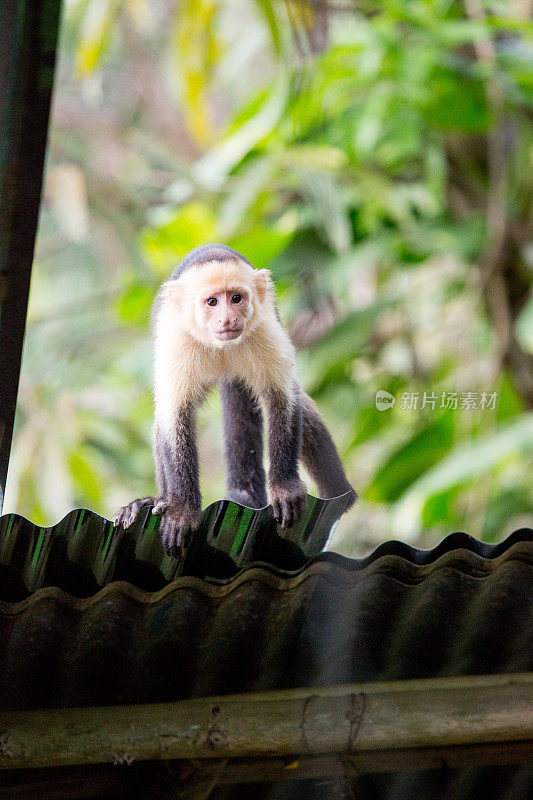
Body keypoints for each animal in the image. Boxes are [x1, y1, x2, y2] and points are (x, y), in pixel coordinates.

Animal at [114, 245, 356, 556]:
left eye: (236, 298)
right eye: (212, 302)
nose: (227, 319)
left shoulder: (265, 328)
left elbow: (282, 399)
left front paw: (285, 488)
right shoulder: (177, 340)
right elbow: (175, 417)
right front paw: (182, 511)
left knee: (300, 405)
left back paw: (339, 494)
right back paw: (156, 500)